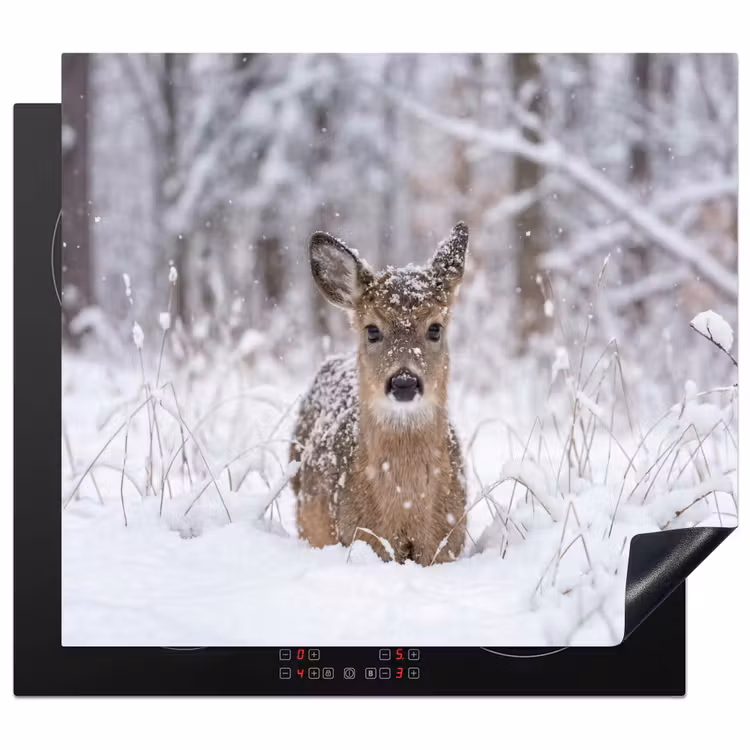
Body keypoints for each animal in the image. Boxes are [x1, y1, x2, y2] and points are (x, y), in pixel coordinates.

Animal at [289, 222, 469, 566]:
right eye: (372, 330)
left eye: (435, 328)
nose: (404, 382)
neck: (407, 510)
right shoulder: (360, 537)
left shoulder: (448, 542)